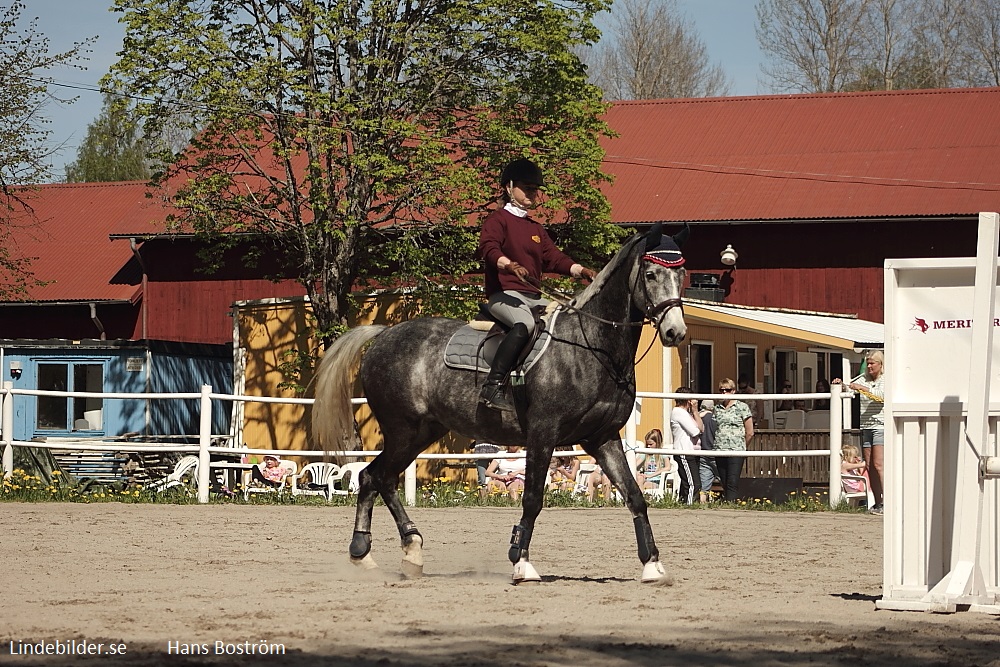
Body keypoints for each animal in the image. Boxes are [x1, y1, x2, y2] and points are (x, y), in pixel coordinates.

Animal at [312, 222, 688, 580]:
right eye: (651, 274)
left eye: (681, 274)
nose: (676, 332)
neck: (590, 346)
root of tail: (383, 334)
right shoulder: (543, 433)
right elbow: (533, 499)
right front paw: (522, 562)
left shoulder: (603, 438)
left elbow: (635, 497)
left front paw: (652, 566)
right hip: (403, 430)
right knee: (377, 478)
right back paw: (384, 550)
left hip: (421, 433)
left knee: (376, 478)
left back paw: (388, 552)